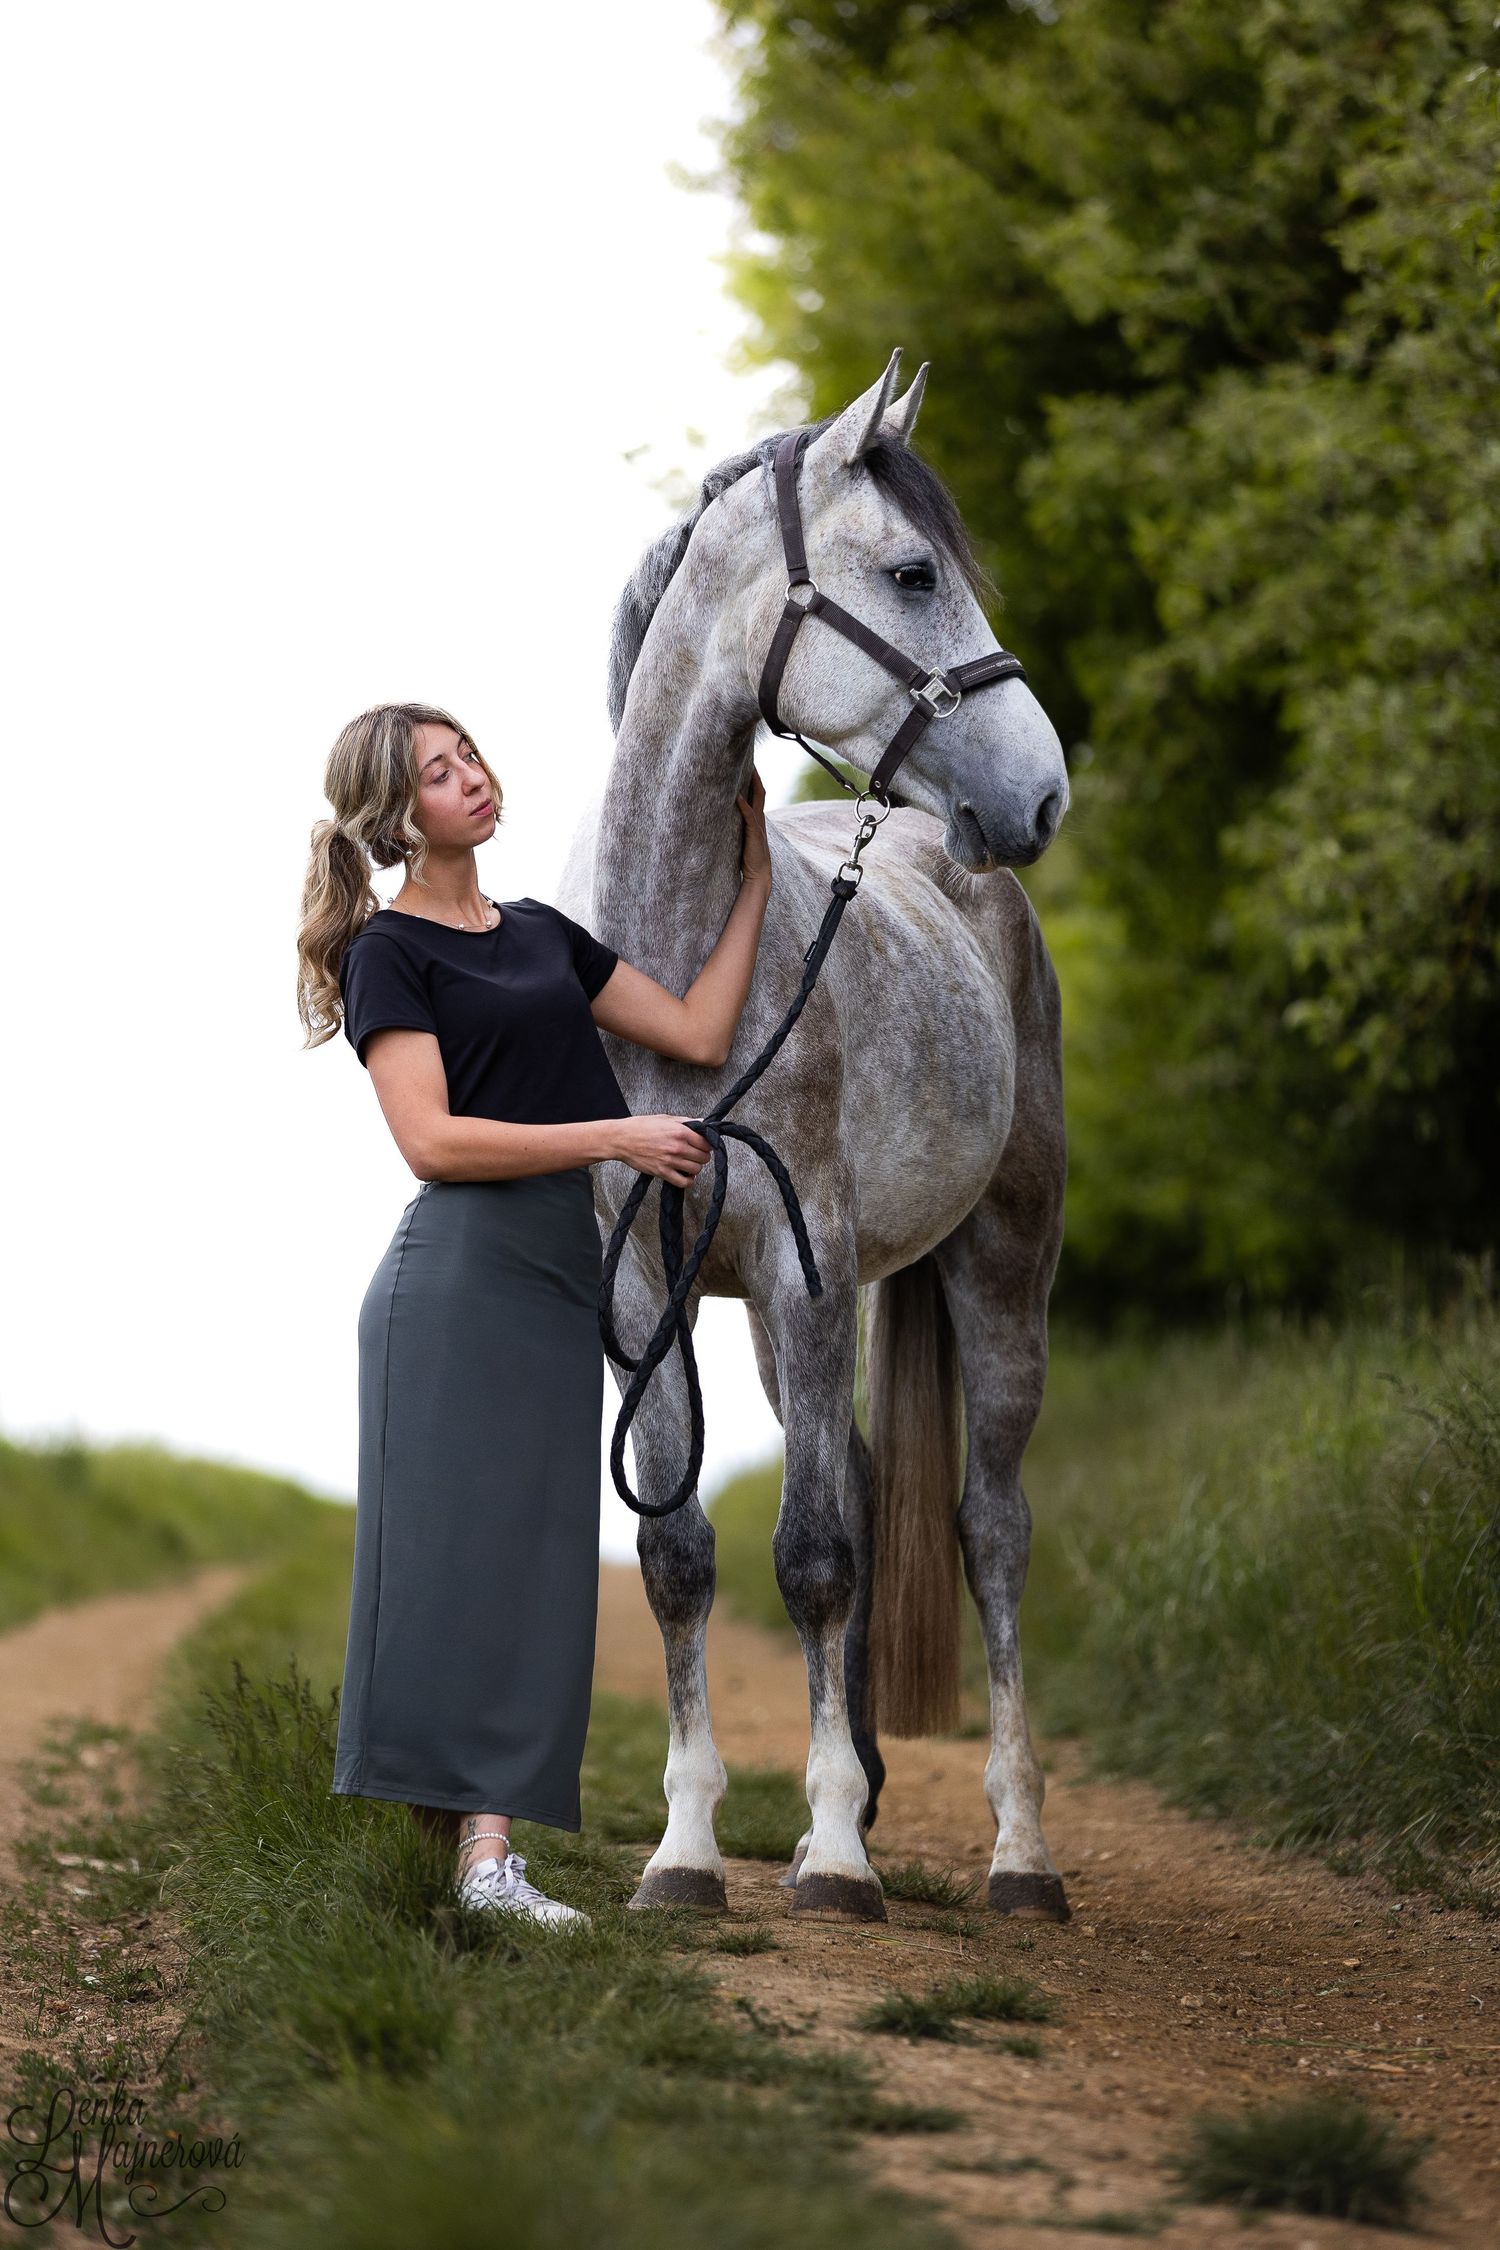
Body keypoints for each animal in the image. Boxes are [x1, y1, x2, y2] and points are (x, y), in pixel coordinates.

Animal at [557, 350, 1073, 1922]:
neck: (675, 971)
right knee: (856, 1472)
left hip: (996, 1272)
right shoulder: (645, 1284)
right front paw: (687, 1850)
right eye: (911, 571)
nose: (1042, 792)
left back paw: (1020, 1856)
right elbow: (681, 1553)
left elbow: (823, 1554)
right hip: (801, 1326)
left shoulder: (808, 1259)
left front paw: (839, 1857)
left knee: (987, 1527)